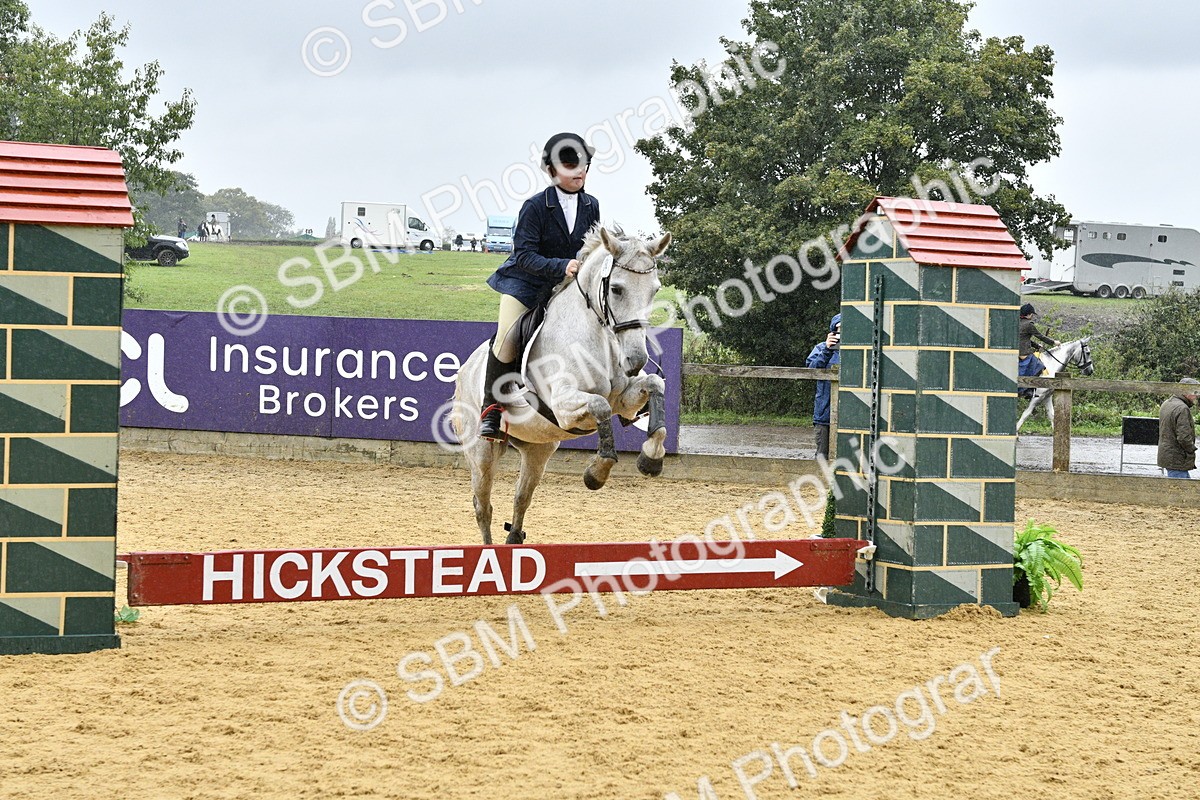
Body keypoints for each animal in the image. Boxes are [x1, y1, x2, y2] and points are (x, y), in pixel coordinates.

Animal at [452, 225, 672, 545]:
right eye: (616, 289)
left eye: (654, 290)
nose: (635, 360)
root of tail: (464, 369)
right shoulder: (563, 405)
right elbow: (599, 404)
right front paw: (597, 472)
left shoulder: (626, 400)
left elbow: (655, 384)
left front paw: (651, 459)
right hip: (481, 452)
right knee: (483, 507)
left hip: (537, 449)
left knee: (521, 498)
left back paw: (515, 539)